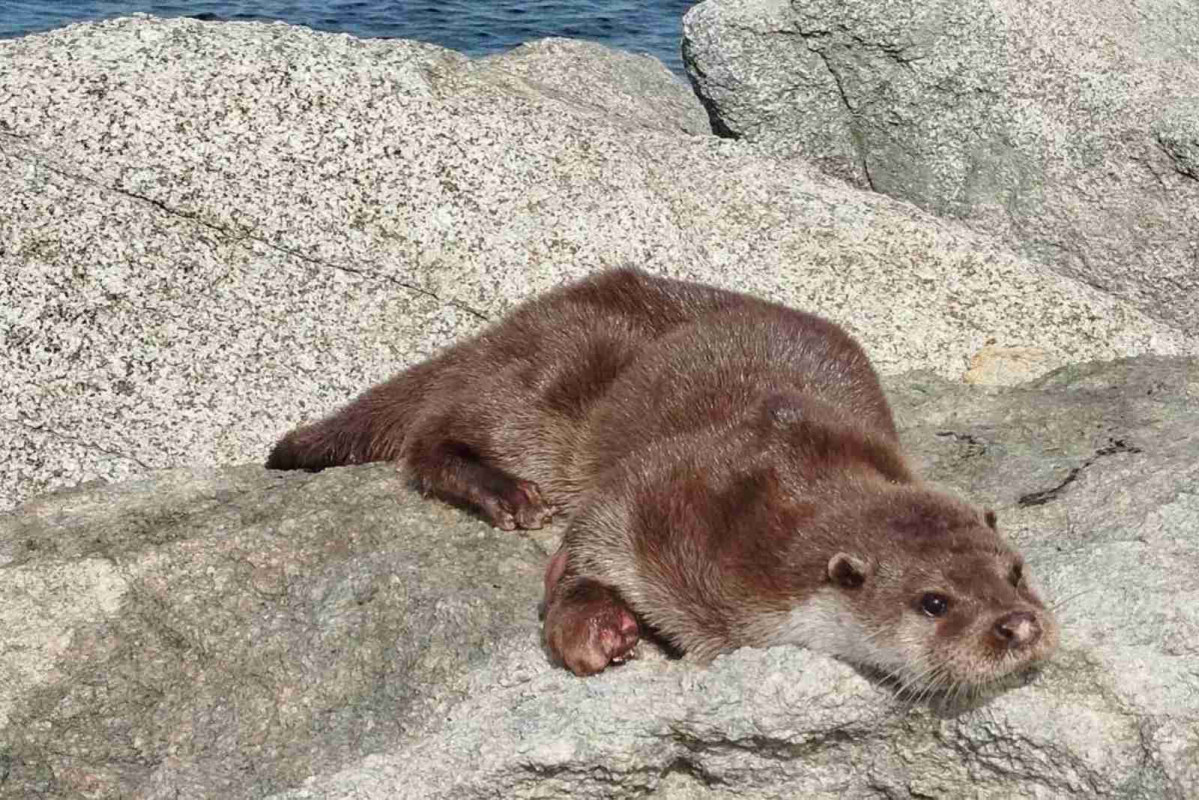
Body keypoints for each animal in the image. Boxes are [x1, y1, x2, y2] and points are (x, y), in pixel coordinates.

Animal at [267, 268, 1055, 695]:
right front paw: (594, 629)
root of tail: (526, 317)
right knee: (433, 431)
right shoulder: (662, 494)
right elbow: (585, 543)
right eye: (933, 601)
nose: (1018, 624)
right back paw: (506, 495)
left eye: (1016, 571)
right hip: (550, 394)